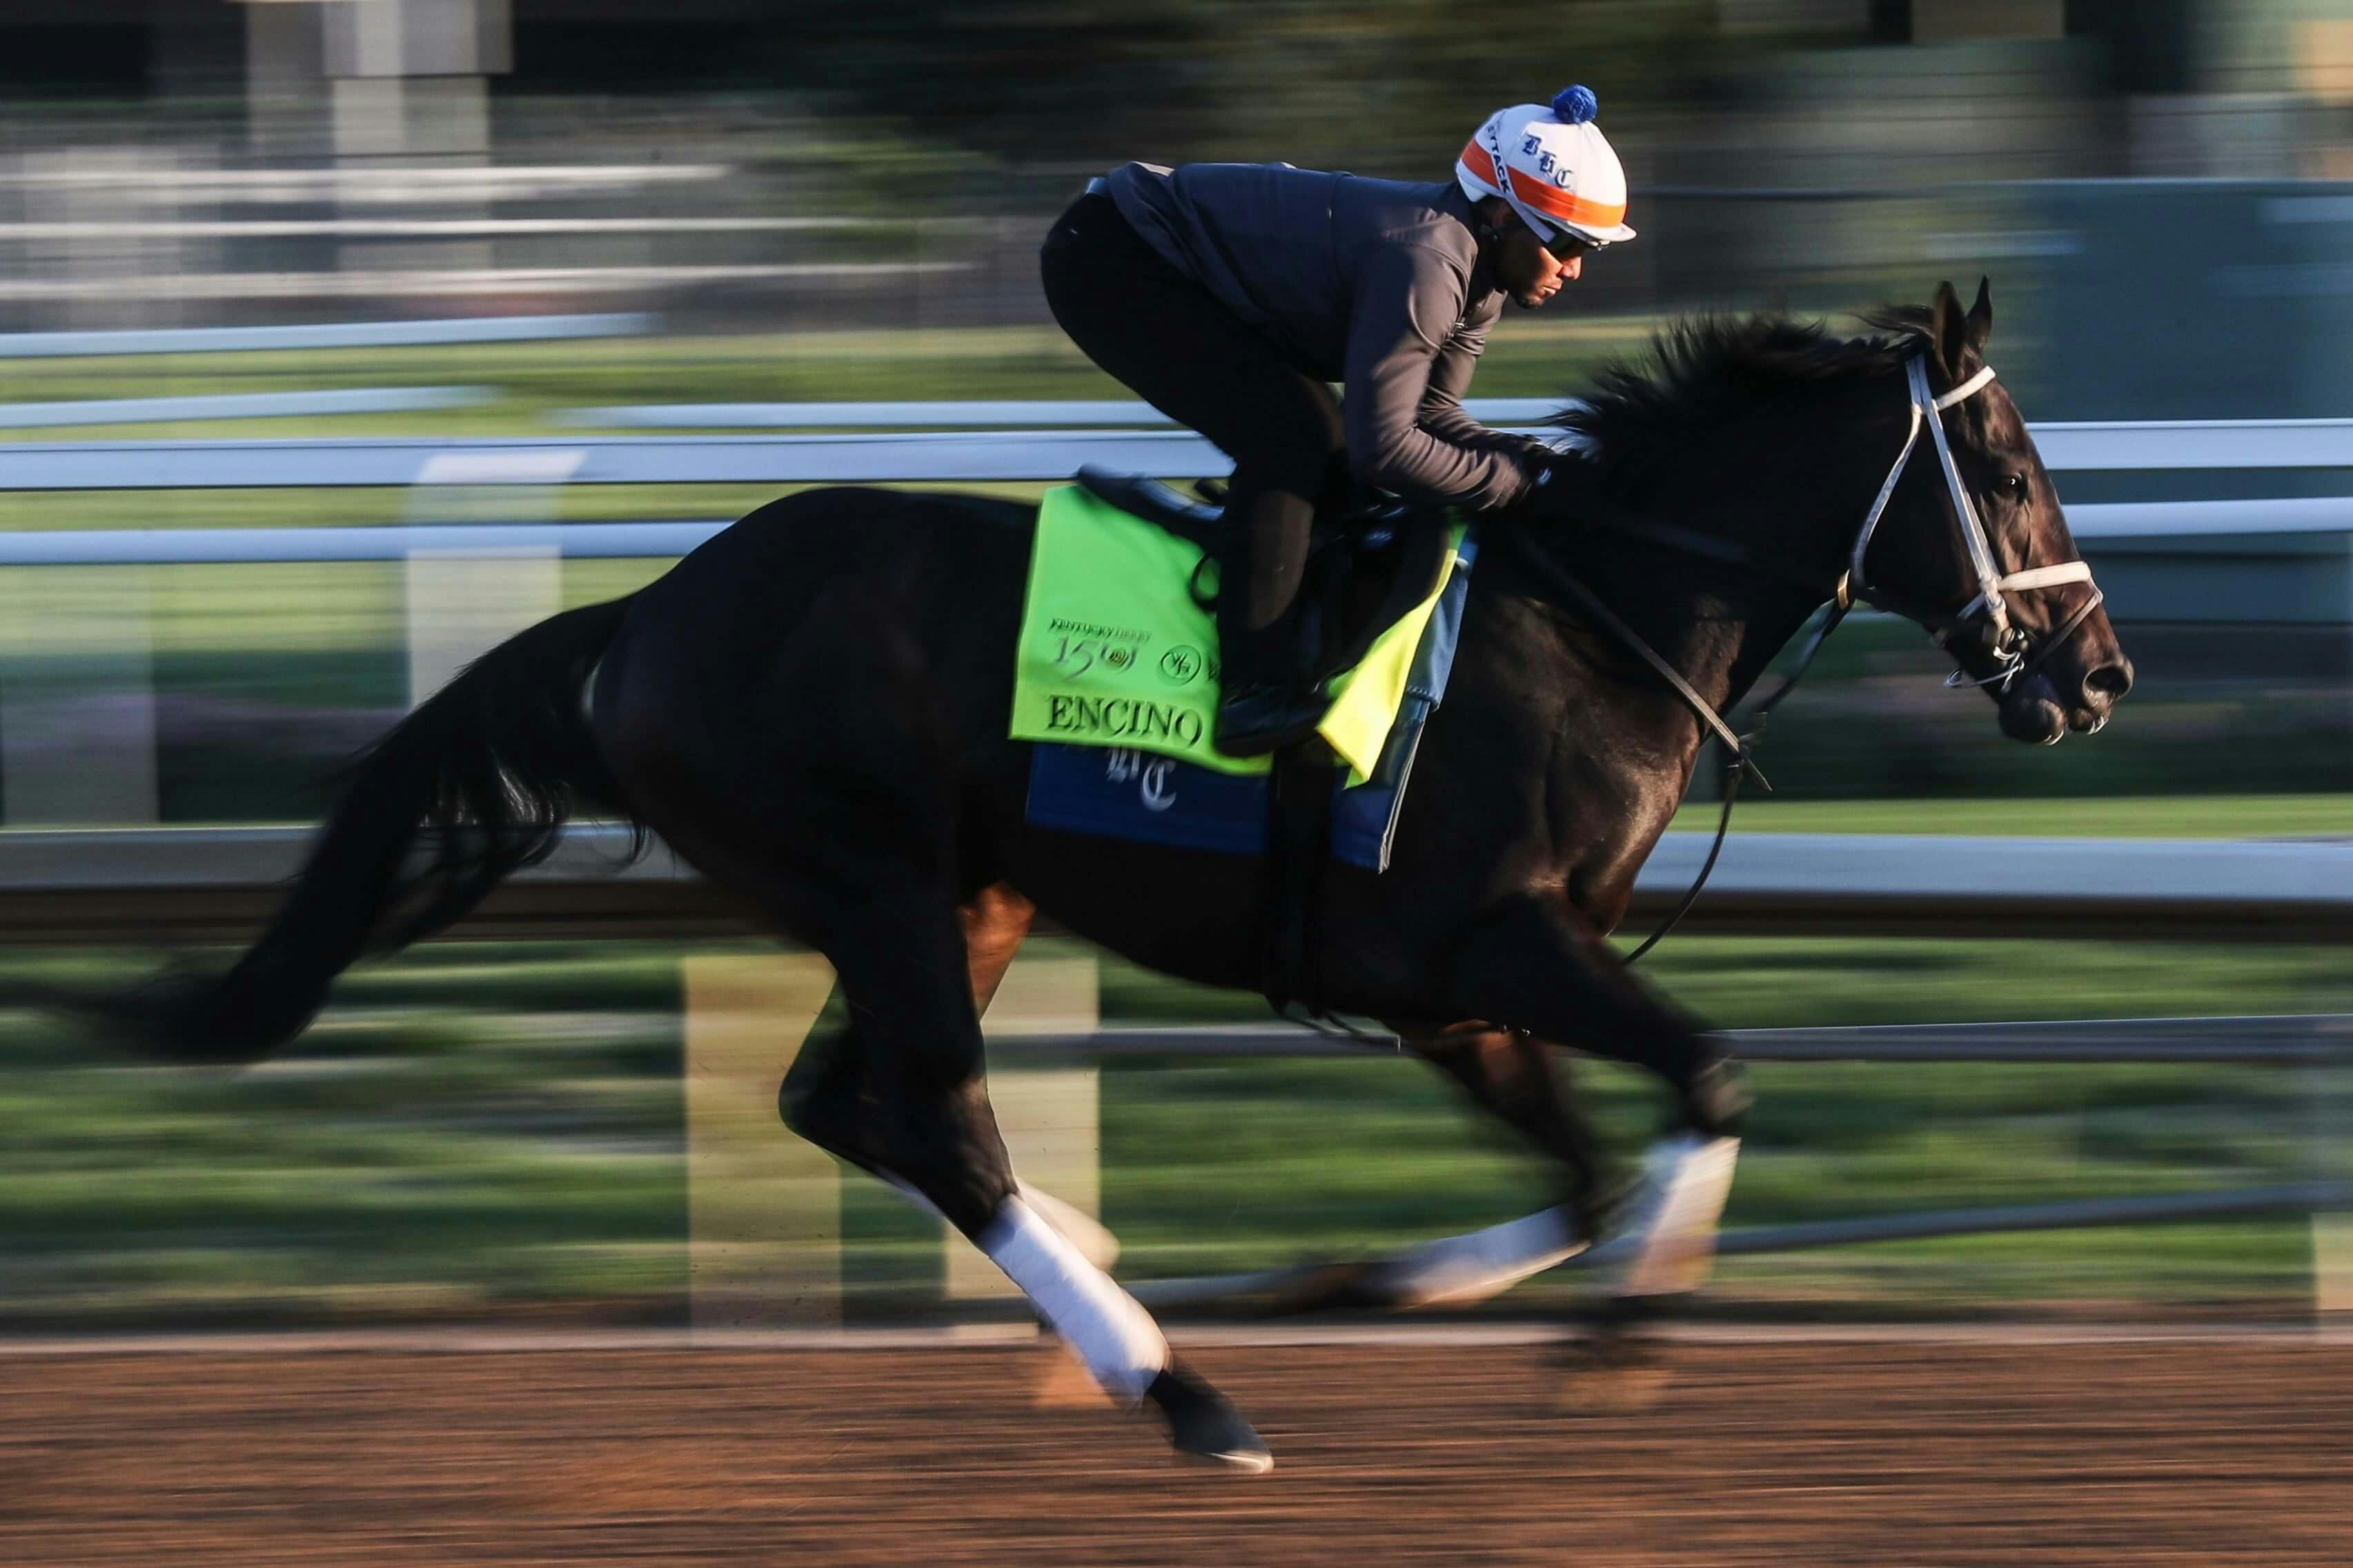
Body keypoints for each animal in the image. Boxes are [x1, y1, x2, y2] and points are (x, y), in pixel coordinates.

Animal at [96, 281, 2136, 1476]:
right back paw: (1170, 1383)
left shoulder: (1450, 992)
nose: (2097, 675)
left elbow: (1572, 1175)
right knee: (935, 1113)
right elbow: (1705, 1079)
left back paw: (1102, 1288)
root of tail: (644, 611)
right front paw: (1621, 1338)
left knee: (856, 1102)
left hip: (963, 893)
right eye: (2006, 467)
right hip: (877, 874)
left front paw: (1374, 1282)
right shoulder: (1493, 941)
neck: (1595, 618)